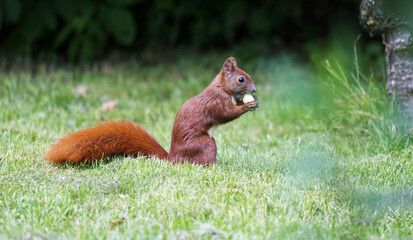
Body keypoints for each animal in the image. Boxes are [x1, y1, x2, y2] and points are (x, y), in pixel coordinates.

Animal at [45, 56, 258, 165]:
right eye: (241, 79)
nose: (255, 90)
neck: (221, 87)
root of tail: (172, 157)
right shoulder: (216, 101)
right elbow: (225, 114)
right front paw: (247, 105)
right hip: (204, 144)